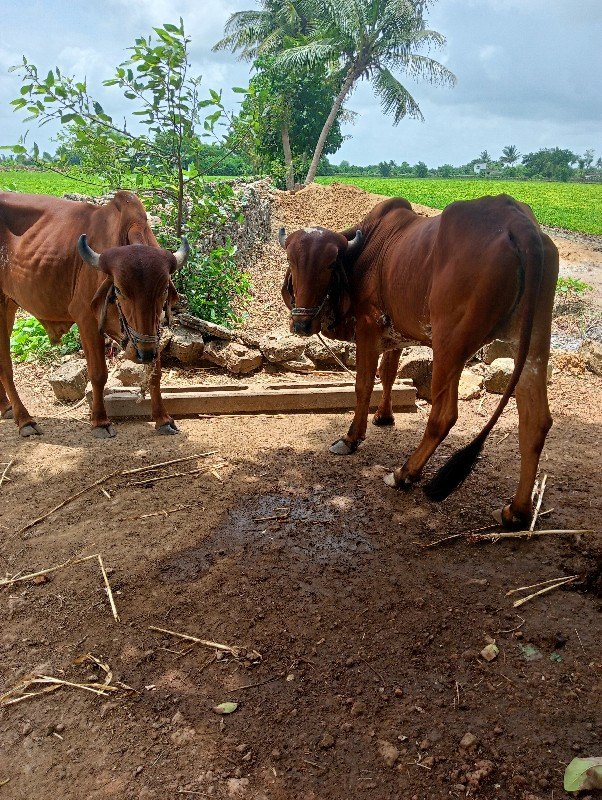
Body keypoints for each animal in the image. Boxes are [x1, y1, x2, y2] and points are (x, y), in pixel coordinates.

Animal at [0, 190, 188, 438]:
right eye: (118, 289)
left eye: (164, 289)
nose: (144, 353)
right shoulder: (86, 319)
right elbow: (98, 374)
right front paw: (100, 421)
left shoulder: (152, 330)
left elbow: (155, 373)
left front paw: (163, 419)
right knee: (5, 365)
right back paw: (24, 420)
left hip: (9, 303)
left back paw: (6, 408)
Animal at [280, 195, 556, 528]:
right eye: (292, 261)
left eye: (331, 263)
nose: (302, 324)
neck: (365, 251)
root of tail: (518, 222)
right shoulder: (395, 336)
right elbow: (388, 374)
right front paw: (384, 416)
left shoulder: (369, 328)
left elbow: (363, 385)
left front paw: (351, 437)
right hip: (533, 343)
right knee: (535, 422)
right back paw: (516, 511)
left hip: (450, 344)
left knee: (444, 415)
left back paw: (405, 473)